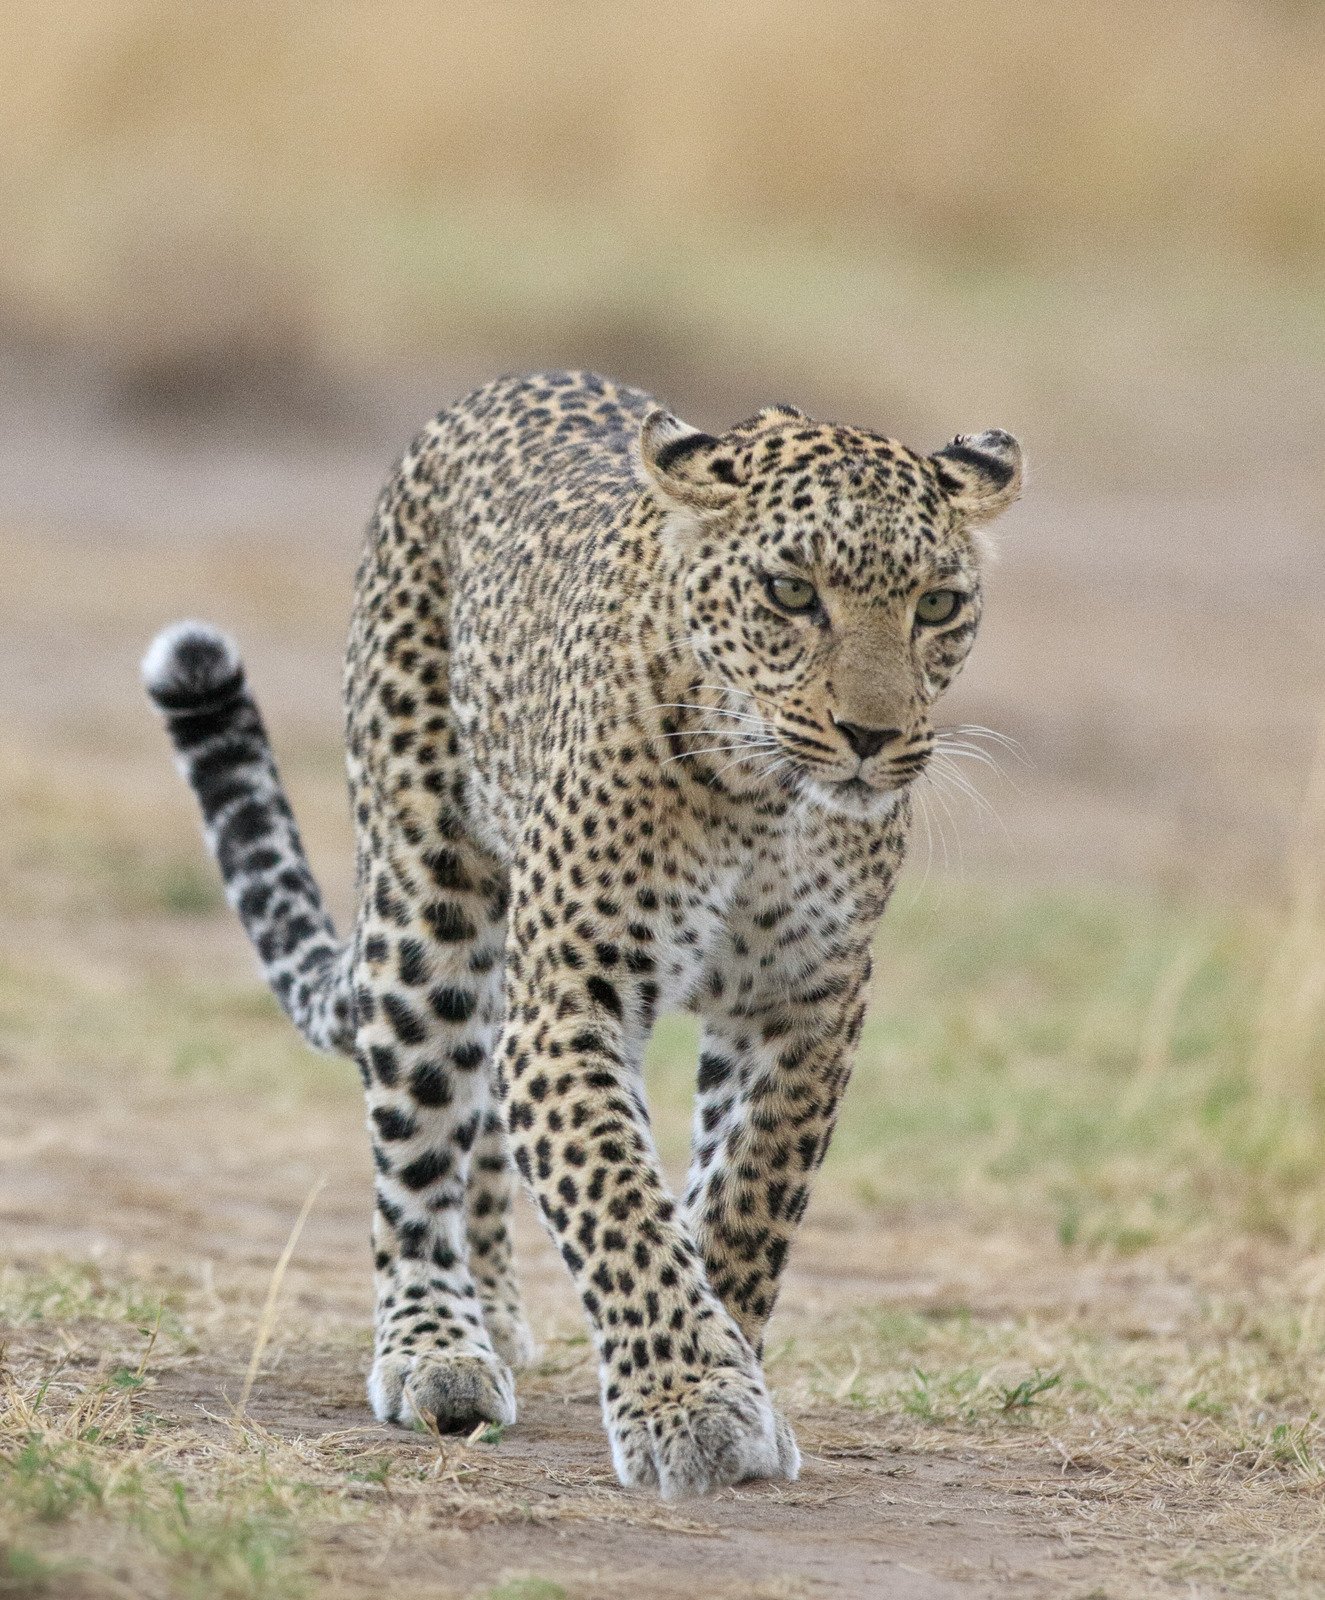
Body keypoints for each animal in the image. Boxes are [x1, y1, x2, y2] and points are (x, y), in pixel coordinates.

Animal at [140, 371, 1017, 1497]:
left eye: (936, 605)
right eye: (789, 593)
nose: (870, 737)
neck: (762, 797)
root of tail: (491, 387)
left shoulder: (808, 1005)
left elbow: (744, 1202)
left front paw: (726, 1370)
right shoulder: (570, 999)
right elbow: (618, 1200)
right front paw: (689, 1403)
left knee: (478, 1131)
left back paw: (497, 1312)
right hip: (430, 910)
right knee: (417, 1150)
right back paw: (437, 1350)